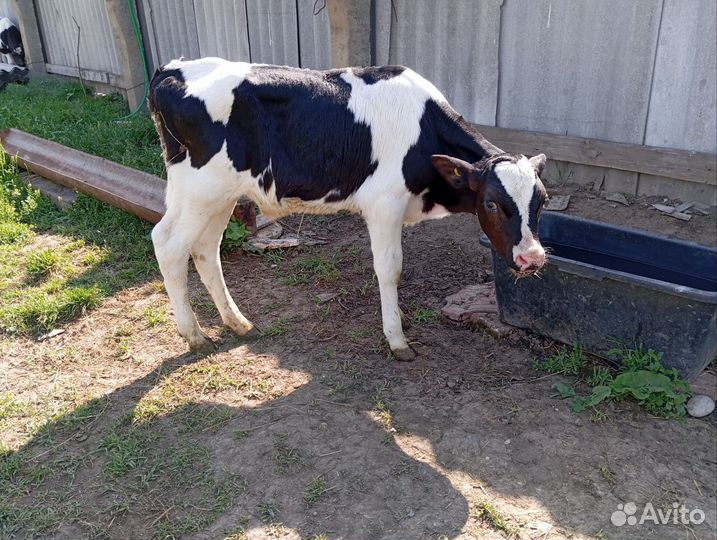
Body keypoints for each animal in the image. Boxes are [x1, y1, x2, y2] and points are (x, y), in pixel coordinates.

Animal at [148, 58, 548, 360]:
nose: (532, 258)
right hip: (201, 189)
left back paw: (237, 323)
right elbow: (390, 269)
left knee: (205, 249)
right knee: (168, 244)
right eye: (491, 203)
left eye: (542, 201)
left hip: (219, 195)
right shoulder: (384, 203)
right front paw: (397, 338)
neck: (423, 126)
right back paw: (196, 337)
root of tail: (172, 69)